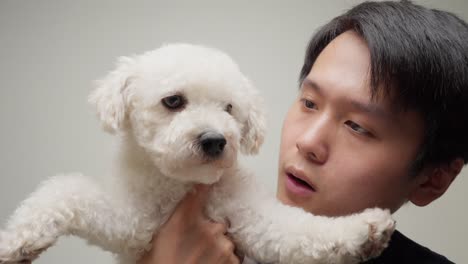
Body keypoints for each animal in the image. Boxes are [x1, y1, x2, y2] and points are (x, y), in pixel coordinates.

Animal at [0, 43, 394, 264]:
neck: (184, 185)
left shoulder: (251, 218)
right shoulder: (134, 225)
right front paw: (18, 240)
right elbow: (66, 189)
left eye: (229, 108)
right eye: (173, 101)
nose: (215, 140)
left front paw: (366, 230)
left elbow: (300, 230)